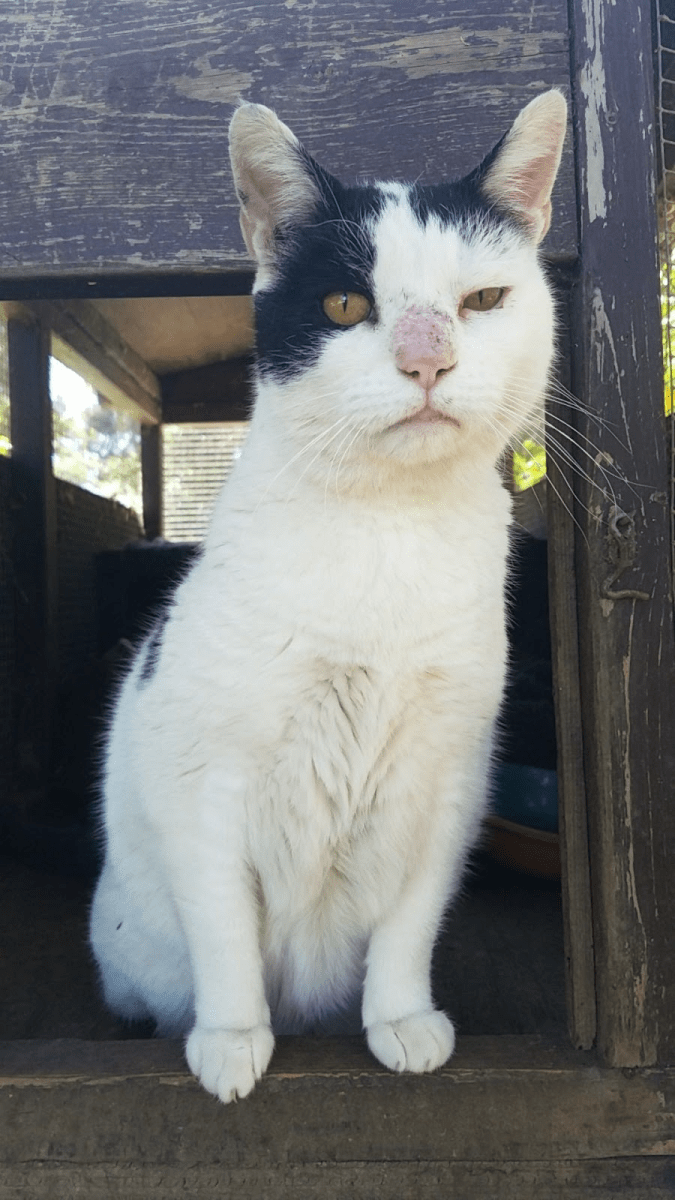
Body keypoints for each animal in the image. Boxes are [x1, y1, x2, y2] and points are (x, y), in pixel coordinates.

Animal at [88, 96, 562, 1104]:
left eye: (481, 301)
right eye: (346, 304)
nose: (427, 359)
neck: (384, 534)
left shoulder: (446, 782)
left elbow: (411, 923)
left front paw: (399, 1020)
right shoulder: (203, 788)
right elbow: (224, 926)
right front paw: (232, 1039)